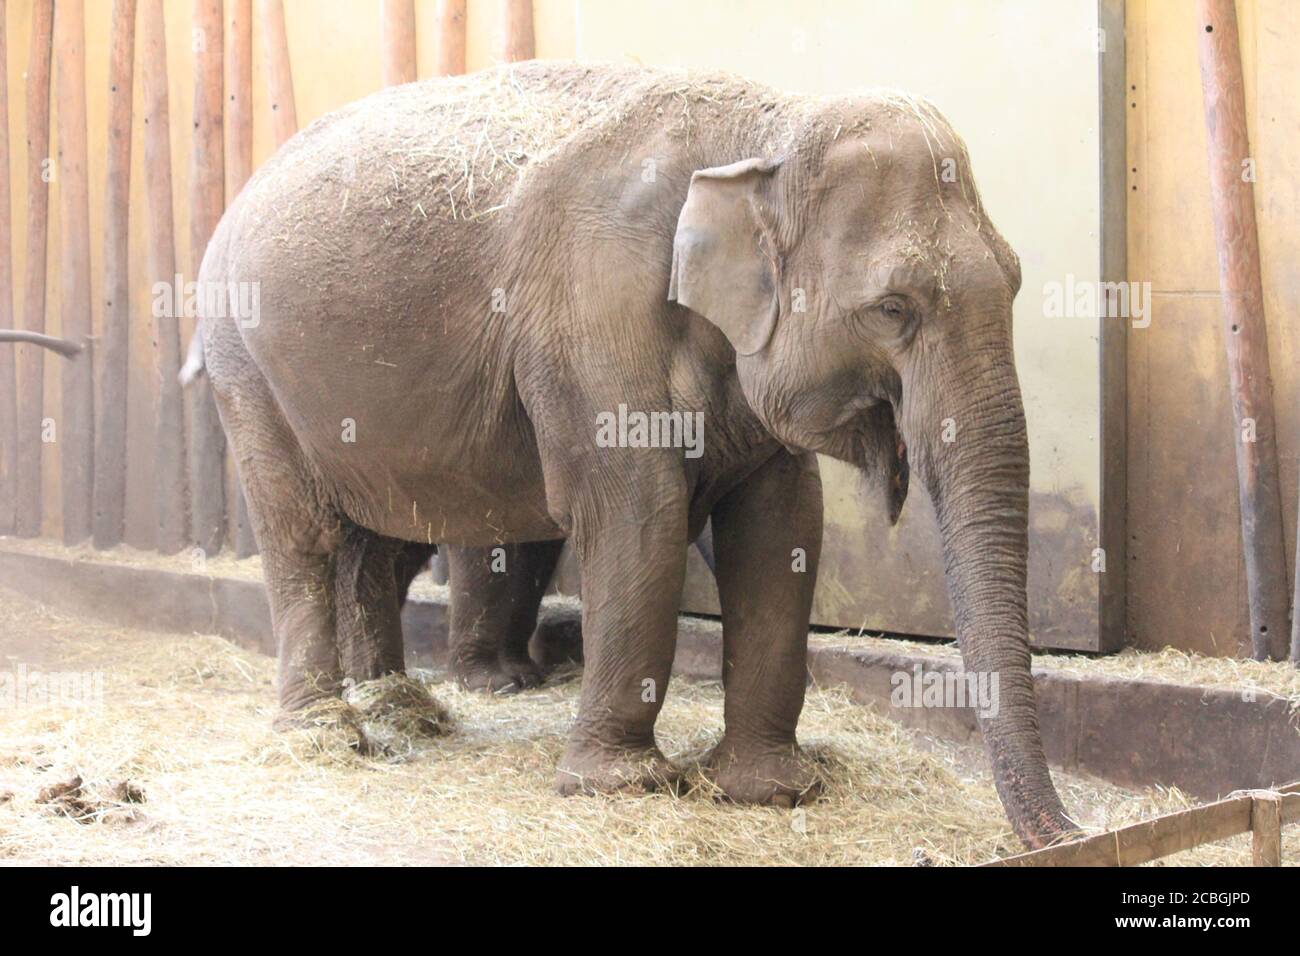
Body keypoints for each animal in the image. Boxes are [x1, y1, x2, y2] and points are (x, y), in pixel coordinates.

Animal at [192, 63, 1076, 848]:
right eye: (893, 308)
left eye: (1016, 279)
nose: (1068, 835)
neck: (767, 127)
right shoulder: (592, 310)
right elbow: (638, 518)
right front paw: (623, 786)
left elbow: (781, 528)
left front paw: (768, 792)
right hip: (243, 364)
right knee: (302, 535)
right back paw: (324, 735)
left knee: (375, 543)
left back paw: (398, 709)